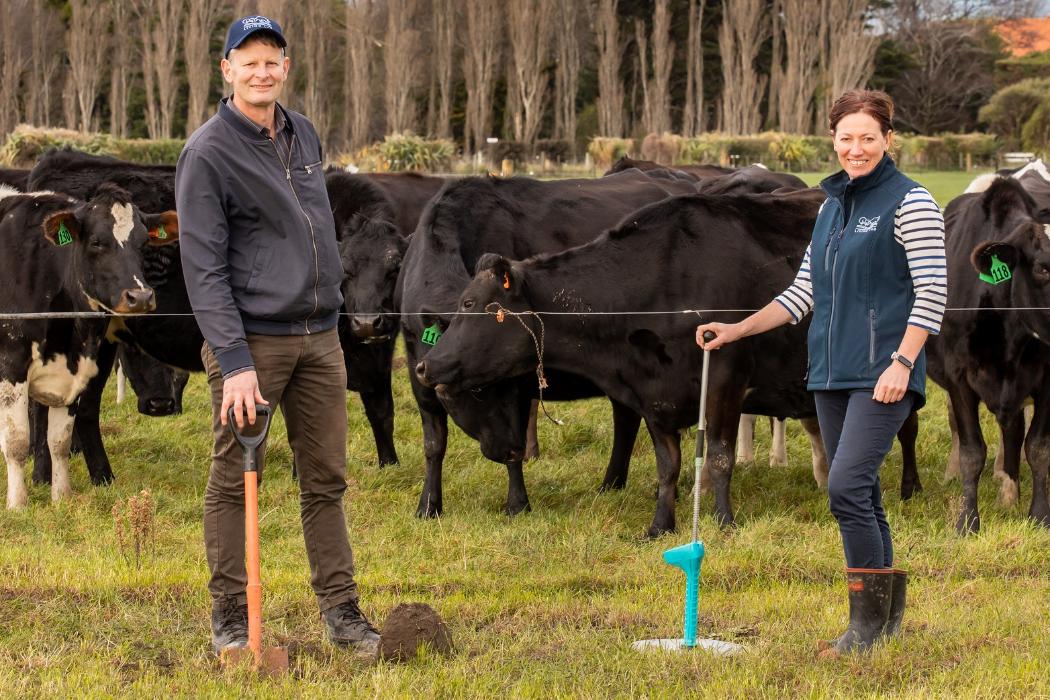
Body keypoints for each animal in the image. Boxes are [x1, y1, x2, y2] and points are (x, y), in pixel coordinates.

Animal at [0, 183, 176, 505]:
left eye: (144, 243)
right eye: (96, 242)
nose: (140, 297)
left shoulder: (73, 369)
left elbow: (59, 439)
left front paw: (61, 497)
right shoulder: (11, 364)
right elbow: (18, 441)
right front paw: (18, 503)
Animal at [325, 170, 445, 468]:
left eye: (395, 268)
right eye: (345, 270)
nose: (368, 323)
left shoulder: (381, 354)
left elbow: (382, 411)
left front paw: (389, 463)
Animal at [394, 170, 697, 520]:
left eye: (500, 378)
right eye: (475, 386)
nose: (507, 447)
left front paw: (517, 503)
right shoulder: (419, 376)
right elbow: (434, 445)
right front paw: (428, 505)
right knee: (626, 416)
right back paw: (611, 483)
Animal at [413, 188, 823, 533]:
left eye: (469, 303)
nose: (424, 366)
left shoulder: (726, 379)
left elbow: (721, 457)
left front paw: (724, 523)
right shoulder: (652, 394)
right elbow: (667, 466)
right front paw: (660, 526)